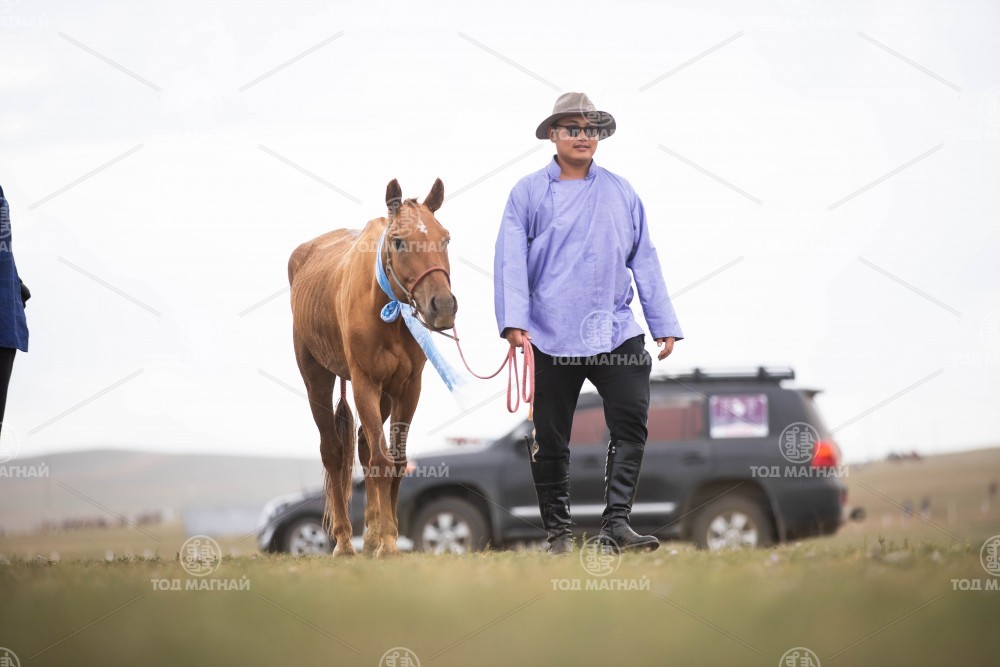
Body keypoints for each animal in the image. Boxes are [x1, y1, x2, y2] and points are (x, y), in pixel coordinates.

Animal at [288, 179, 456, 558]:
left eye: (445, 238)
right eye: (399, 241)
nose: (443, 306)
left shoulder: (407, 388)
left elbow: (395, 460)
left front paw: (385, 536)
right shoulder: (365, 383)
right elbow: (379, 460)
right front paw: (387, 542)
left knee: (363, 446)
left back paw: (369, 537)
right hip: (317, 378)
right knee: (333, 452)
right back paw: (344, 541)